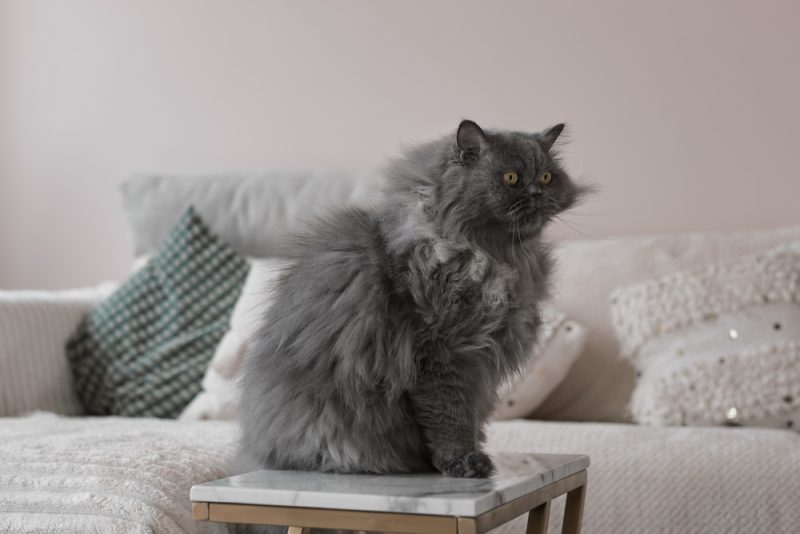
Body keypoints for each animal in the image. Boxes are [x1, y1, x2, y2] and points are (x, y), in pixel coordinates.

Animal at [238, 121, 588, 482]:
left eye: (546, 177)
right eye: (511, 178)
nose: (537, 193)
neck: (498, 256)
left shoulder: (482, 366)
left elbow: (472, 417)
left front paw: (470, 457)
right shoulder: (442, 354)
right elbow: (449, 418)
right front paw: (462, 463)